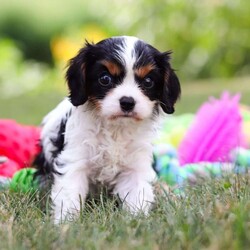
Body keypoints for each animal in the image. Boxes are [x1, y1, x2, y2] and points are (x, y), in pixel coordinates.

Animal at [34, 35, 181, 223]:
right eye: (105, 79)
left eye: (148, 82)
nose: (127, 102)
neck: (115, 129)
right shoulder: (74, 161)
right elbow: (69, 196)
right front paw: (66, 224)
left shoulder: (135, 167)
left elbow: (137, 197)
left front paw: (136, 222)